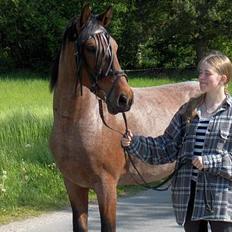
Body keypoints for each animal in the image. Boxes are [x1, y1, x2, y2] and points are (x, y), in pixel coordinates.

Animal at [49, 3, 200, 232]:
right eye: (91, 48)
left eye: (115, 46)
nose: (124, 99)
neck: (79, 123)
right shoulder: (74, 185)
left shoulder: (107, 187)